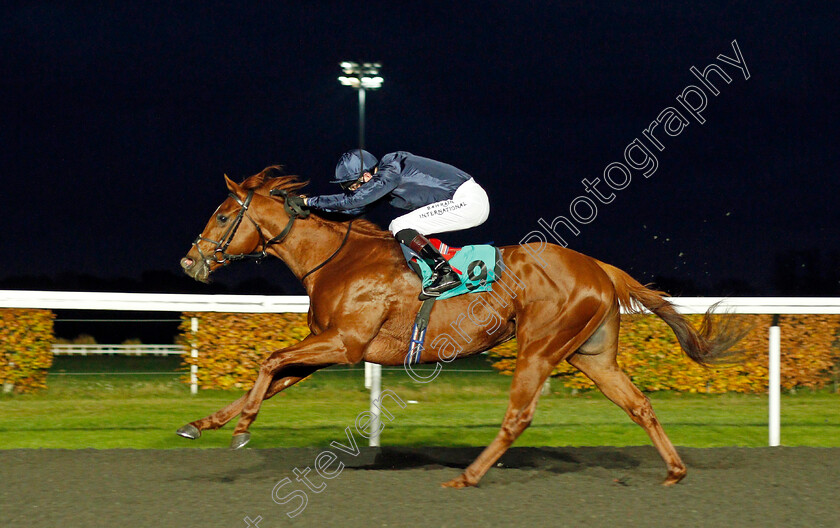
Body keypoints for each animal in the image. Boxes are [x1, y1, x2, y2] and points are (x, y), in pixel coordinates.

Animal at [177, 167, 740, 488]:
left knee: (518, 416)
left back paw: (468, 477)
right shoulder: (328, 348)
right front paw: (203, 423)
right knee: (639, 405)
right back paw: (674, 470)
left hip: (539, 346)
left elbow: (268, 361)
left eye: (223, 215)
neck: (340, 258)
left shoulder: (344, 343)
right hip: (592, 355)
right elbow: (271, 375)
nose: (189, 262)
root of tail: (601, 268)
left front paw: (242, 430)